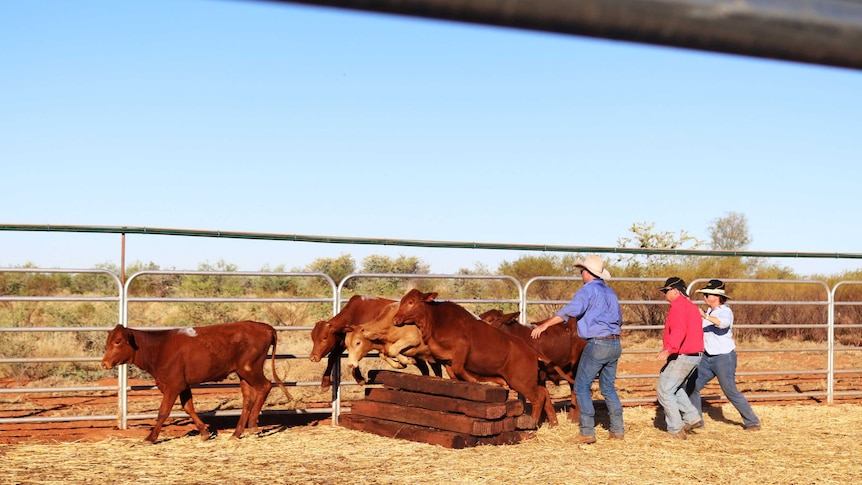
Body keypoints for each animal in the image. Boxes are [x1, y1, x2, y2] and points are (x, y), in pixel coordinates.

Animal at [102, 322, 292, 442]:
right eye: (108, 342)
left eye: (118, 342)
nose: (104, 363)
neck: (158, 348)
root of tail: (265, 327)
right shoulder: (182, 385)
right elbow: (189, 408)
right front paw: (204, 432)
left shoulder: (173, 385)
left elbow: (163, 411)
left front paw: (150, 437)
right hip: (243, 373)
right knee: (248, 399)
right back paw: (237, 433)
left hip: (250, 369)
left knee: (265, 386)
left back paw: (252, 425)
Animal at [394, 290, 560, 426]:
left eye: (411, 302)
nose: (395, 319)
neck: (436, 321)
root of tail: (531, 350)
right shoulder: (446, 360)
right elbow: (455, 372)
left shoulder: (462, 347)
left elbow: (460, 369)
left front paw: (475, 380)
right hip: (524, 381)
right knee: (543, 392)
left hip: (520, 381)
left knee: (538, 397)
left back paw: (532, 422)